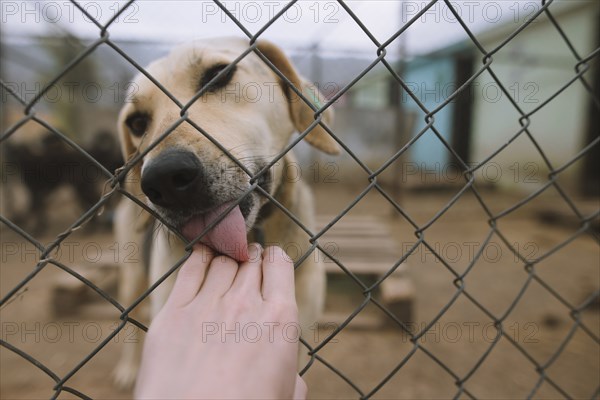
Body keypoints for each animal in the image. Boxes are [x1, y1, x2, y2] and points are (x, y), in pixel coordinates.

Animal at [111, 36, 338, 388]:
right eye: (137, 123)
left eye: (218, 75)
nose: (163, 179)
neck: (253, 233)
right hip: (132, 270)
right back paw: (128, 368)